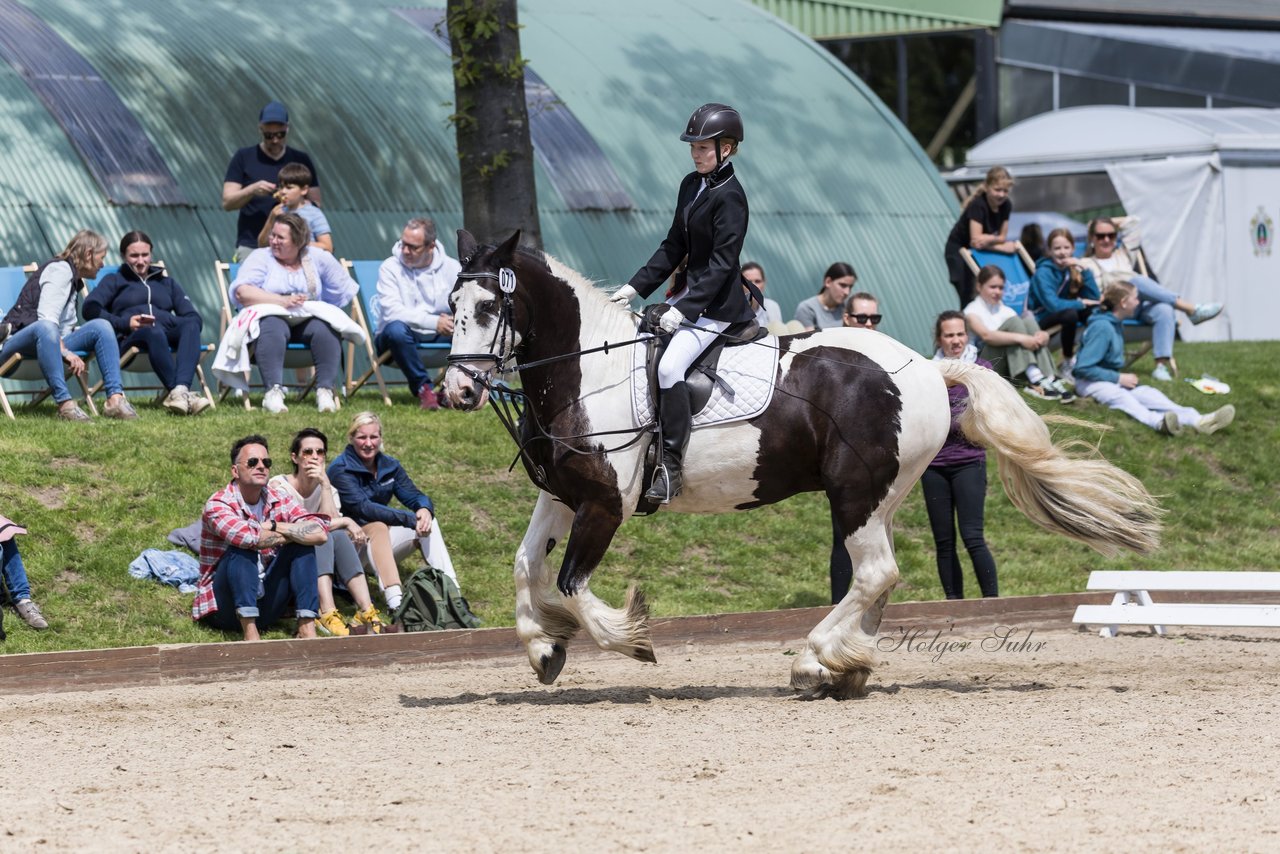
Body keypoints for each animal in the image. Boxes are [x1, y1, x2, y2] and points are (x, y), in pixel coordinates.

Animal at [440, 229, 1162, 701]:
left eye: (488, 307)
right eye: (450, 307)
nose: (457, 391)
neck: (586, 373)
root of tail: (930, 365)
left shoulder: (605, 505)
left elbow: (571, 585)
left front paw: (628, 638)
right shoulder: (563, 495)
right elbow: (526, 565)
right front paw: (543, 647)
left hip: (857, 494)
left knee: (873, 573)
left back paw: (815, 663)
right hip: (883, 496)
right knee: (879, 577)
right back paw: (847, 666)